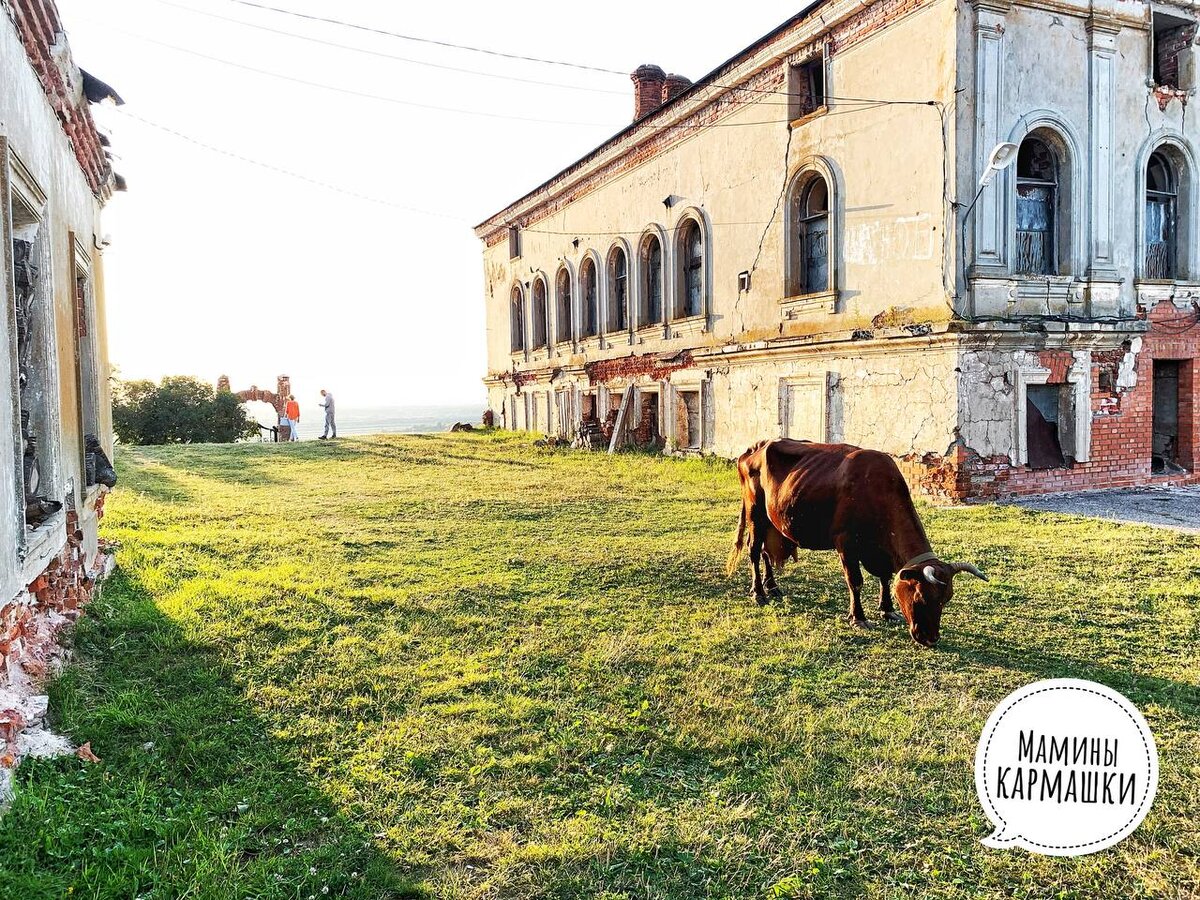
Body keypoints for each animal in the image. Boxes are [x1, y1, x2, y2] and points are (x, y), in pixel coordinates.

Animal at [724, 439, 988, 643]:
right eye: (921, 597)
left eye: (945, 599)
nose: (930, 638)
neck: (877, 491)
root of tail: (756, 447)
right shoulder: (846, 544)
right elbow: (856, 581)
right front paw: (858, 617)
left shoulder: (880, 551)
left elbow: (885, 577)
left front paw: (887, 610)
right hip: (755, 512)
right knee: (754, 550)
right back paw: (759, 592)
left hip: (771, 518)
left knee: (766, 551)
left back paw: (773, 586)